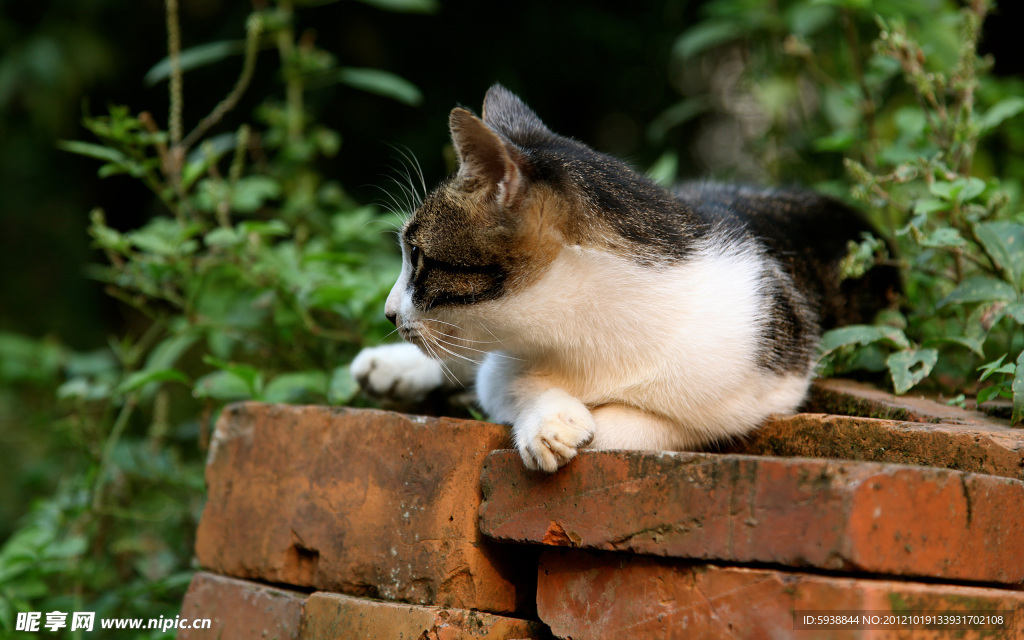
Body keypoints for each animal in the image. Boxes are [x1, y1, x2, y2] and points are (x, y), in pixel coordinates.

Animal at [354, 84, 897, 471]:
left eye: (417, 256)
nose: (389, 311)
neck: (579, 329)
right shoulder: (502, 364)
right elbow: (503, 382)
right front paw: (547, 420)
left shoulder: (756, 391)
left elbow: (638, 427)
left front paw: (575, 423)